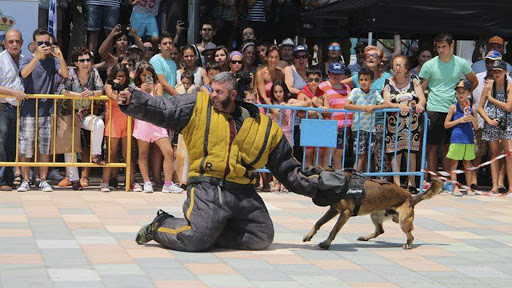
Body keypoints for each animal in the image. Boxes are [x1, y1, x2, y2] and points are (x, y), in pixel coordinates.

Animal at [304, 174, 444, 251]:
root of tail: (410, 196)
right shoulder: (333, 210)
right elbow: (318, 222)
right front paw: (309, 235)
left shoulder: (344, 213)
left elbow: (333, 230)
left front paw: (326, 243)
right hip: (375, 215)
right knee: (380, 230)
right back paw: (365, 237)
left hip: (404, 221)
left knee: (411, 236)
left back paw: (408, 244)